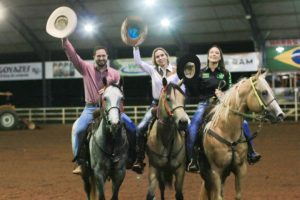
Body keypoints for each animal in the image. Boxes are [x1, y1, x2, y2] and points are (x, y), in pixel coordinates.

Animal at [198, 69, 284, 199]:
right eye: (264, 92)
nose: (280, 115)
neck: (227, 131)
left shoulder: (240, 169)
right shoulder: (216, 172)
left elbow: (238, 195)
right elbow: (218, 197)